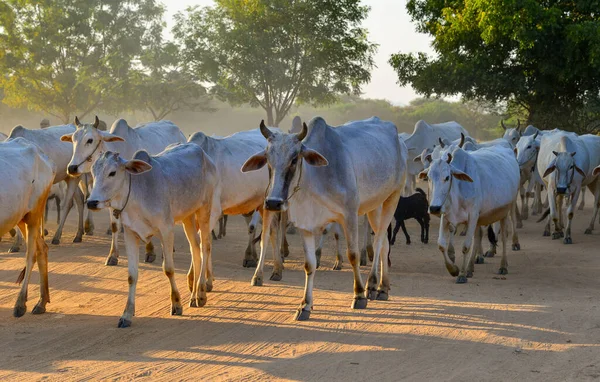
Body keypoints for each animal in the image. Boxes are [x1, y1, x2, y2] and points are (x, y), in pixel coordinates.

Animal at [0, 139, 55, 318]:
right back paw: (41, 302)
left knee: (31, 255)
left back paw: (20, 304)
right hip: (21, 218)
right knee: (42, 248)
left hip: (33, 215)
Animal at [61, 116, 185, 266]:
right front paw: (113, 255)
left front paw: (150, 252)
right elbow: (115, 226)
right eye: (73, 139)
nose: (72, 168)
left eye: (90, 140)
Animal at [86, 145, 220, 326]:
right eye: (93, 171)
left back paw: (200, 293)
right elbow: (132, 275)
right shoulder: (130, 233)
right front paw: (126, 314)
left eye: (112, 173)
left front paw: (176, 304)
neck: (137, 194)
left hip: (204, 210)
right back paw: (193, 296)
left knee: (205, 247)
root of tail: (204, 154)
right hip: (188, 216)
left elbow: (169, 269)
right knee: (195, 249)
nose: (91, 202)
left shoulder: (166, 230)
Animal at [241, 118, 406, 320]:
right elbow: (309, 264)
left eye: (294, 159)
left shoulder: (350, 215)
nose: (273, 202)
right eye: (267, 159)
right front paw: (305, 305)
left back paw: (374, 285)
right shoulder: (305, 225)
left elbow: (353, 255)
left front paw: (359, 295)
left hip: (393, 197)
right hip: (373, 206)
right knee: (384, 245)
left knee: (380, 241)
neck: (314, 180)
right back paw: (381, 287)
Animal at [422, 145, 520, 282]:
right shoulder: (446, 216)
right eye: (429, 177)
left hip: (505, 211)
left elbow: (466, 246)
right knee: (478, 237)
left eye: (447, 177)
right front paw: (454, 270)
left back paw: (503, 266)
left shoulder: (473, 216)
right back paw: (470, 268)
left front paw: (461, 274)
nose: (434, 208)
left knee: (504, 237)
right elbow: (441, 244)